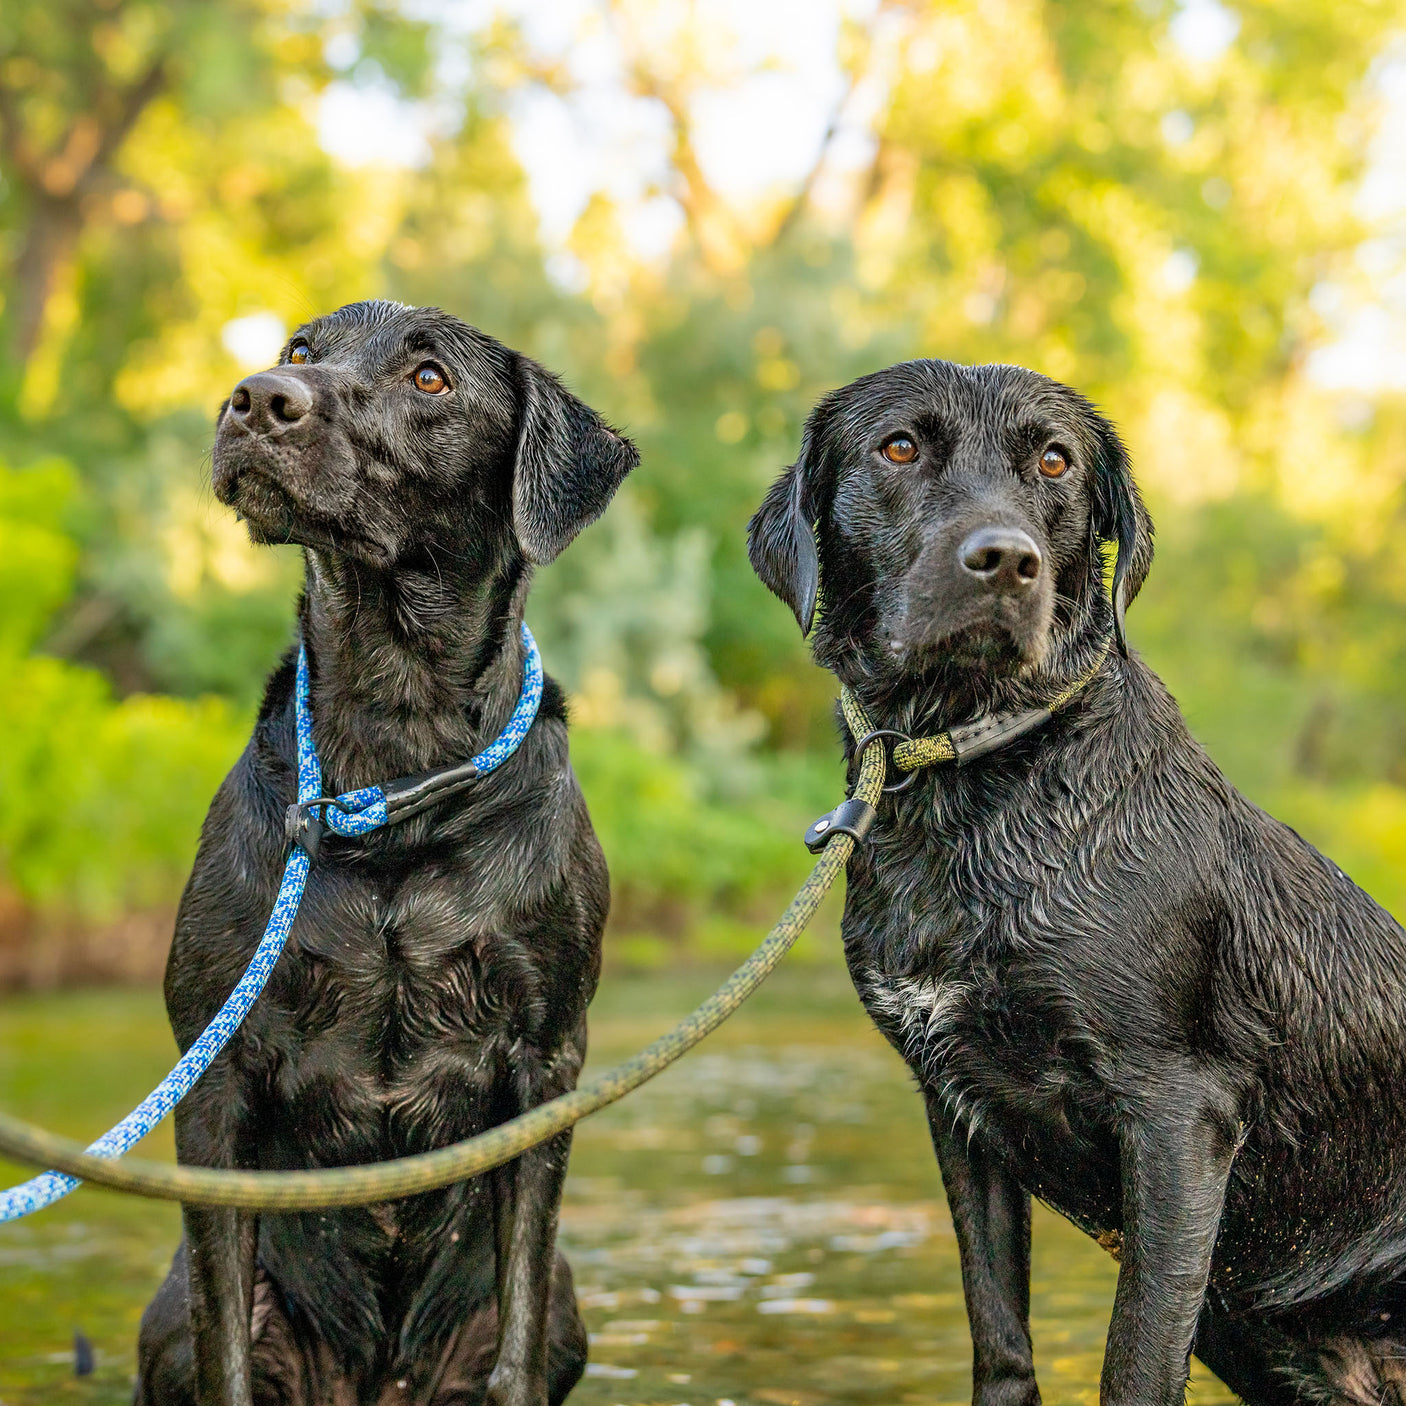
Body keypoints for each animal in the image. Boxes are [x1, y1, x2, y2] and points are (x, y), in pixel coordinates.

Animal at [134, 305, 641, 1406]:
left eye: (429, 378)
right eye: (299, 351)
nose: (257, 398)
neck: (392, 764)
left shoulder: (546, 1064)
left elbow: (515, 1341)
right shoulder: (213, 1083)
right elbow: (224, 1346)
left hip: (567, 1303)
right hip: (169, 1314)